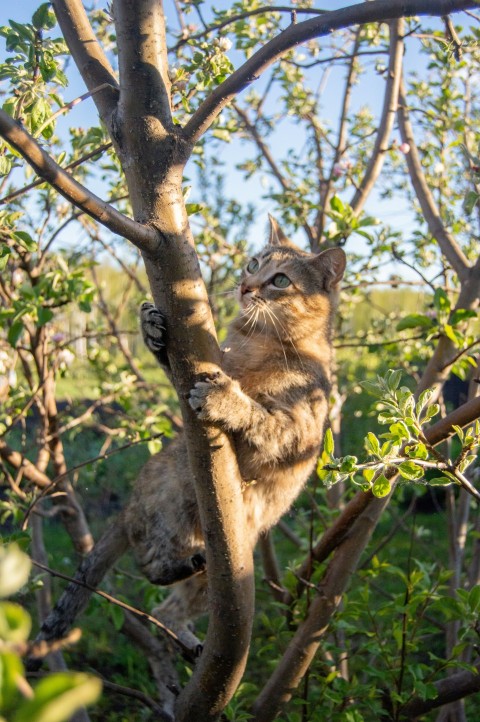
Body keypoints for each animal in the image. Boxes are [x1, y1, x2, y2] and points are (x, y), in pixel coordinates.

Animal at [31, 219, 344, 664]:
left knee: (161, 596)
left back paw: (189, 630)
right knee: (155, 582)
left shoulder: (296, 429)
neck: (261, 341)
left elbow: (260, 418)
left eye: (281, 280)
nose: (246, 285)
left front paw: (224, 399)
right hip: (176, 500)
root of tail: (128, 507)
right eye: (254, 263)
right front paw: (151, 329)